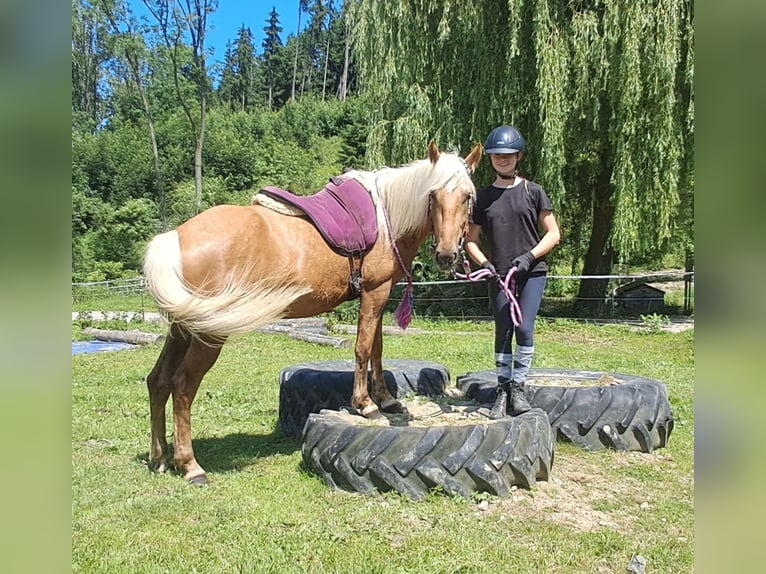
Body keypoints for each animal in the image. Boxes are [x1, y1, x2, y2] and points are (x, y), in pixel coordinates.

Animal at [142, 140, 483, 485]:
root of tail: (175, 237)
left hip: (183, 327)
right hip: (208, 333)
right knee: (183, 386)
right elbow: (363, 348)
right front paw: (366, 405)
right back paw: (190, 465)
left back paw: (160, 457)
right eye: (432, 194)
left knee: (158, 379)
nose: (446, 255)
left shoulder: (378, 294)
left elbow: (376, 348)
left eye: (467, 196)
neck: (387, 218)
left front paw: (386, 400)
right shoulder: (376, 292)